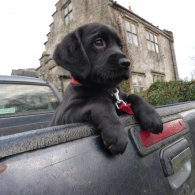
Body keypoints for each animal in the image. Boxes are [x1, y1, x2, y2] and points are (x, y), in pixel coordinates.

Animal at [50, 22, 163, 154]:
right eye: (99, 42)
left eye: (120, 46)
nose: (127, 63)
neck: (106, 89)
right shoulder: (65, 114)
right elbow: (100, 102)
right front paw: (116, 133)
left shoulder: (121, 101)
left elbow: (134, 96)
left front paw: (152, 116)